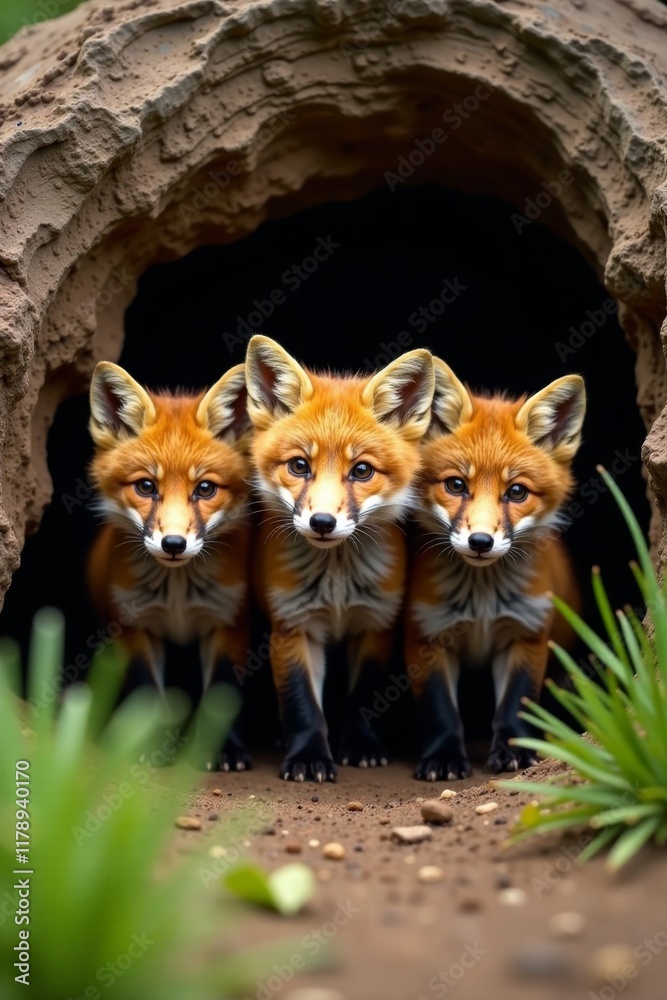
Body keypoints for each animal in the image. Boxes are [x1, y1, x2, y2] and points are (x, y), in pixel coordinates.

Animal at [86, 360, 252, 770]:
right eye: (146, 486)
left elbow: (220, 694)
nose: (174, 544)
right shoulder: (134, 627)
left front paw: (225, 751)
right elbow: (147, 694)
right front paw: (150, 749)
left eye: (205, 489)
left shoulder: (229, 622)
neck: (177, 591)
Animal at [246, 335, 435, 782]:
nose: (322, 522)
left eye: (362, 471)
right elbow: (302, 705)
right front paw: (308, 757)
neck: (336, 584)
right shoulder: (292, 627)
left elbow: (362, 696)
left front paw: (361, 747)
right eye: (299, 465)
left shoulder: (376, 623)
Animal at [405, 357, 586, 780]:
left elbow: (516, 705)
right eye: (456, 485)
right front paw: (443, 757)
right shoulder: (427, 635)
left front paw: (514, 753)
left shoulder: (526, 633)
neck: (482, 600)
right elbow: (440, 711)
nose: (480, 542)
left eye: (516, 492)